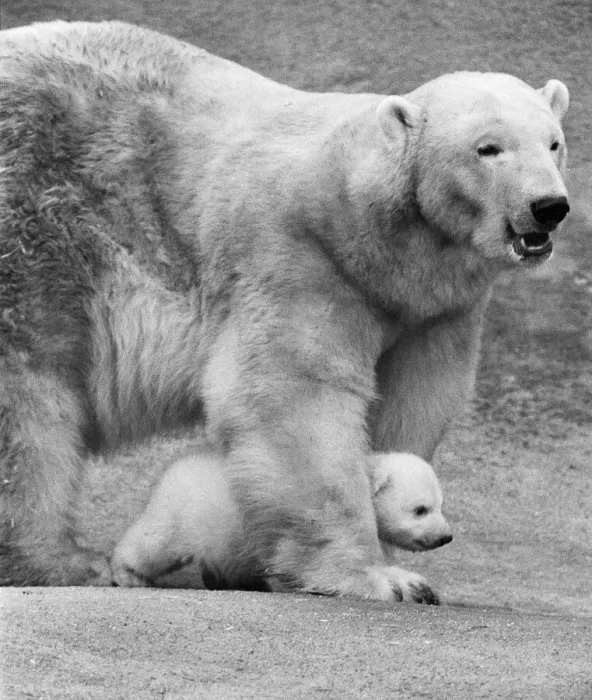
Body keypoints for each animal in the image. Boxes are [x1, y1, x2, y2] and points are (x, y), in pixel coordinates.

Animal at [110, 451, 451, 597]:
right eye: (420, 509)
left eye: (440, 505)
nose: (445, 537)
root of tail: (175, 467)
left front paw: (416, 585)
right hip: (188, 512)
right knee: (155, 544)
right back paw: (128, 574)